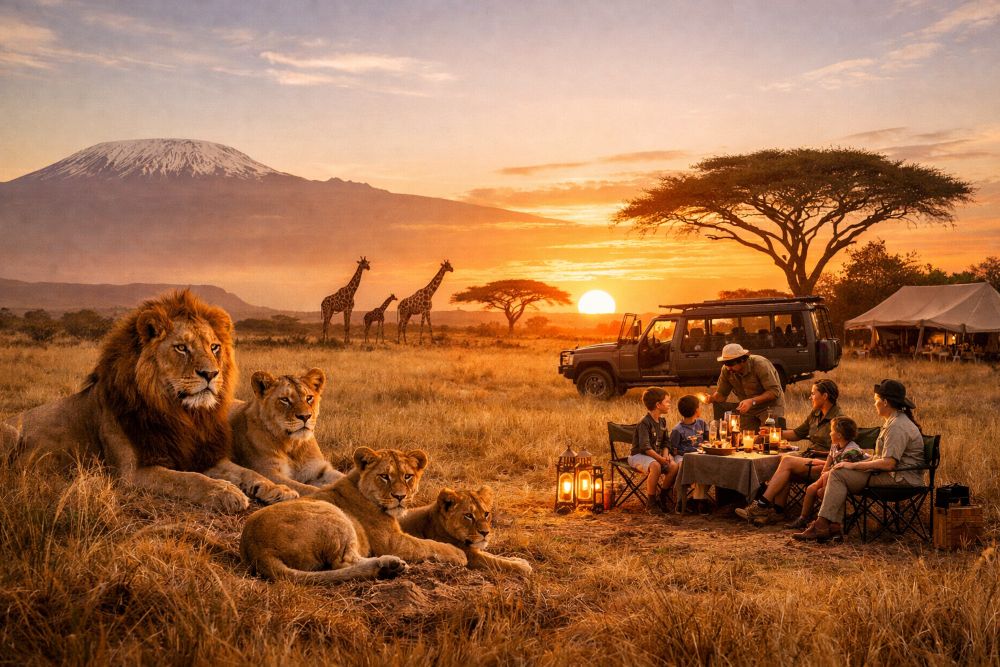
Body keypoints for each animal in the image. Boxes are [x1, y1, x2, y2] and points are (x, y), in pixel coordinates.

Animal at [4, 289, 297, 512]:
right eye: (181, 348)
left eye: (214, 347)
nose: (211, 374)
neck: (182, 415)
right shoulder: (131, 473)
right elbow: (189, 479)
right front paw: (225, 492)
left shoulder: (201, 454)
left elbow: (248, 472)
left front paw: (278, 488)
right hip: (8, 433)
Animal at [240, 447, 467, 583]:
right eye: (384, 476)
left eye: (408, 476)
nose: (400, 497)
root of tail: (257, 549)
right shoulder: (393, 541)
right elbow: (429, 545)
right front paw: (459, 553)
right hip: (333, 514)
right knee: (344, 563)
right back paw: (388, 566)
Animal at [400, 486, 533, 576]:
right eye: (468, 515)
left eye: (486, 514)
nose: (485, 533)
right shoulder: (471, 557)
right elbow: (496, 561)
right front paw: (523, 566)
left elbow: (493, 555)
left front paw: (517, 559)